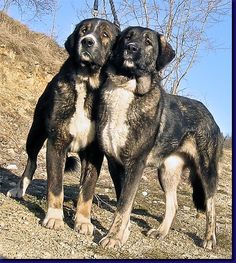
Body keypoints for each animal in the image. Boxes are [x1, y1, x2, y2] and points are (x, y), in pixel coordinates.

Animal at [7, 17, 120, 234]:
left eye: (105, 34)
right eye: (83, 30)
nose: (87, 41)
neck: (87, 84)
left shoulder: (94, 154)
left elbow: (87, 190)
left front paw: (83, 221)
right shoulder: (56, 144)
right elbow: (55, 185)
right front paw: (54, 217)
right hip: (34, 134)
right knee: (31, 162)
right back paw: (19, 188)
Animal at [96, 26, 223, 250]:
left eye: (148, 42)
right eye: (127, 37)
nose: (131, 48)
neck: (126, 88)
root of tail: (208, 114)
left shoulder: (135, 164)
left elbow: (124, 205)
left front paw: (113, 237)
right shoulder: (114, 164)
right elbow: (122, 201)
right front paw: (122, 233)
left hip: (206, 171)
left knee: (210, 205)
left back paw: (209, 238)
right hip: (167, 172)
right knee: (173, 204)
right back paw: (161, 231)